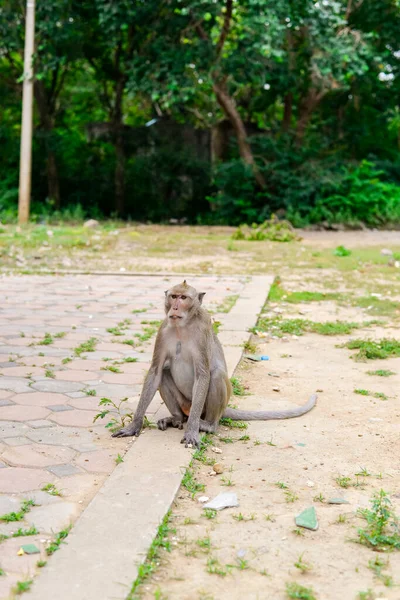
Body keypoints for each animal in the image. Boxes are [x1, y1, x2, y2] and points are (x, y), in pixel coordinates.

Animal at [111, 280, 316, 446]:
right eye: (173, 296)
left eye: (184, 298)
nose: (174, 308)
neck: (181, 327)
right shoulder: (163, 331)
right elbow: (155, 372)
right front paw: (134, 425)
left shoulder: (202, 331)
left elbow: (203, 374)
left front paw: (192, 431)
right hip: (184, 403)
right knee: (165, 373)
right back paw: (176, 418)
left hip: (205, 407)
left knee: (215, 376)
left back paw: (207, 425)